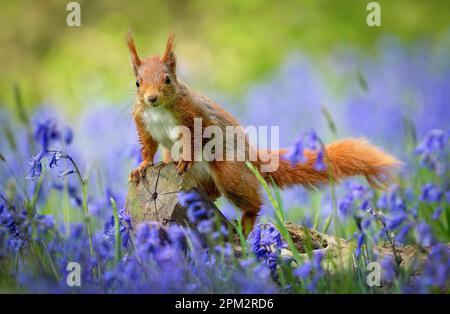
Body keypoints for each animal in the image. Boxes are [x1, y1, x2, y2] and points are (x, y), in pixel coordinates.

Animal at [126, 33, 400, 234]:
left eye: (167, 79)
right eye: (137, 83)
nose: (152, 98)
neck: (159, 110)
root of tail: (252, 157)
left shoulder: (193, 115)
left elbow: (195, 137)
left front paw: (185, 158)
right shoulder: (142, 122)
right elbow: (148, 146)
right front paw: (142, 166)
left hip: (228, 170)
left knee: (248, 200)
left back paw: (246, 222)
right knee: (211, 191)